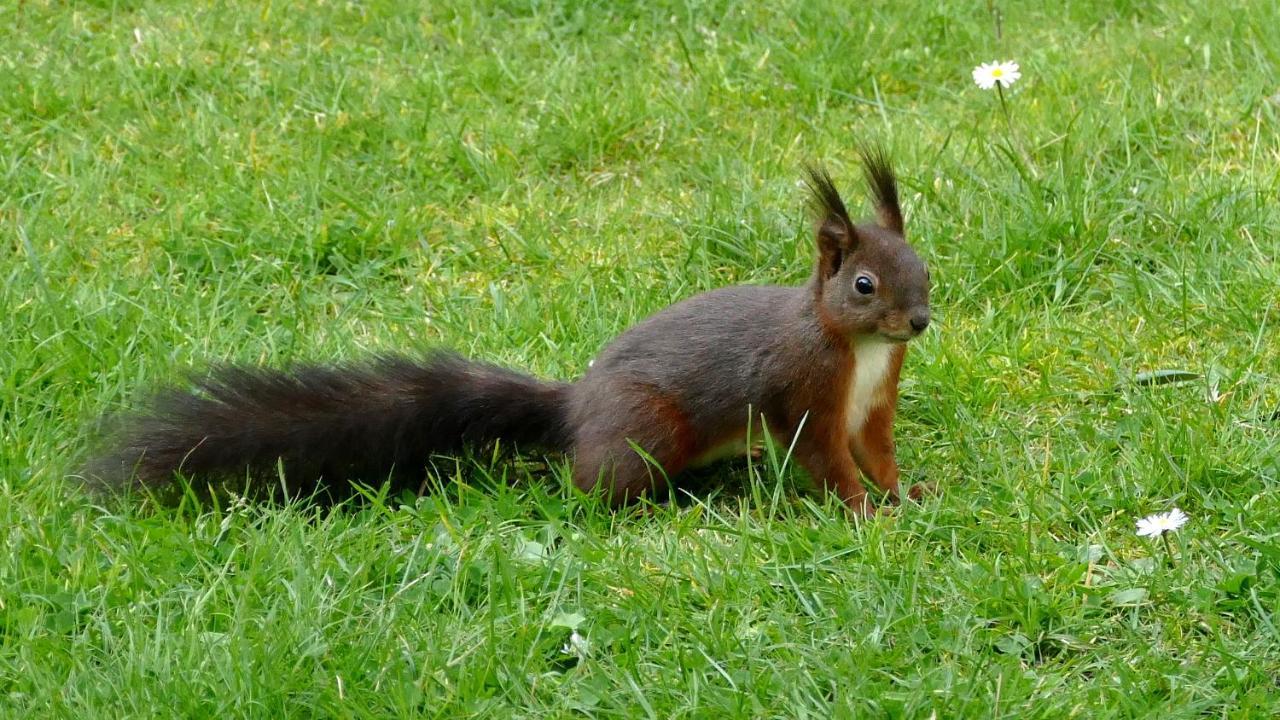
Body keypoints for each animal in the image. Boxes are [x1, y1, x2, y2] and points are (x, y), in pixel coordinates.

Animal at [87, 147, 931, 515]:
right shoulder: (803, 388)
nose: (919, 320)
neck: (860, 352)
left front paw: (908, 493)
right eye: (863, 286)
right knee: (587, 485)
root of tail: (576, 406)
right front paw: (862, 513)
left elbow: (876, 451)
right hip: (647, 430)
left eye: (925, 266)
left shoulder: (871, 403)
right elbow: (824, 458)